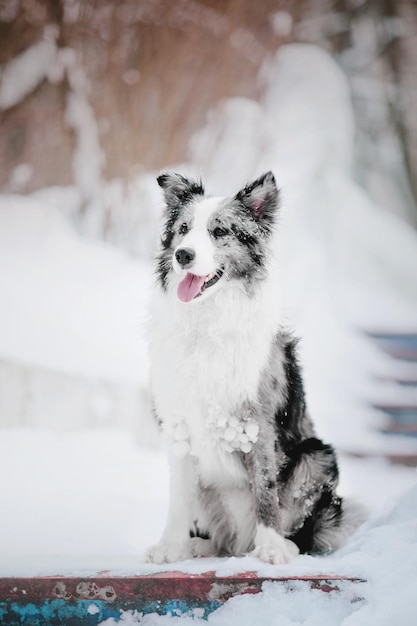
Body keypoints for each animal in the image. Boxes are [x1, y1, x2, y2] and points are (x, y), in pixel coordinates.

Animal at [145, 172, 360, 564]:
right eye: (183, 230)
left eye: (219, 231)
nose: (183, 255)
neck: (208, 321)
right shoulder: (179, 423)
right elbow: (179, 497)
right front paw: (171, 547)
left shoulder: (257, 422)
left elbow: (266, 488)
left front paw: (272, 547)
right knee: (222, 539)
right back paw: (201, 545)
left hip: (316, 455)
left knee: (304, 532)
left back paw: (279, 545)